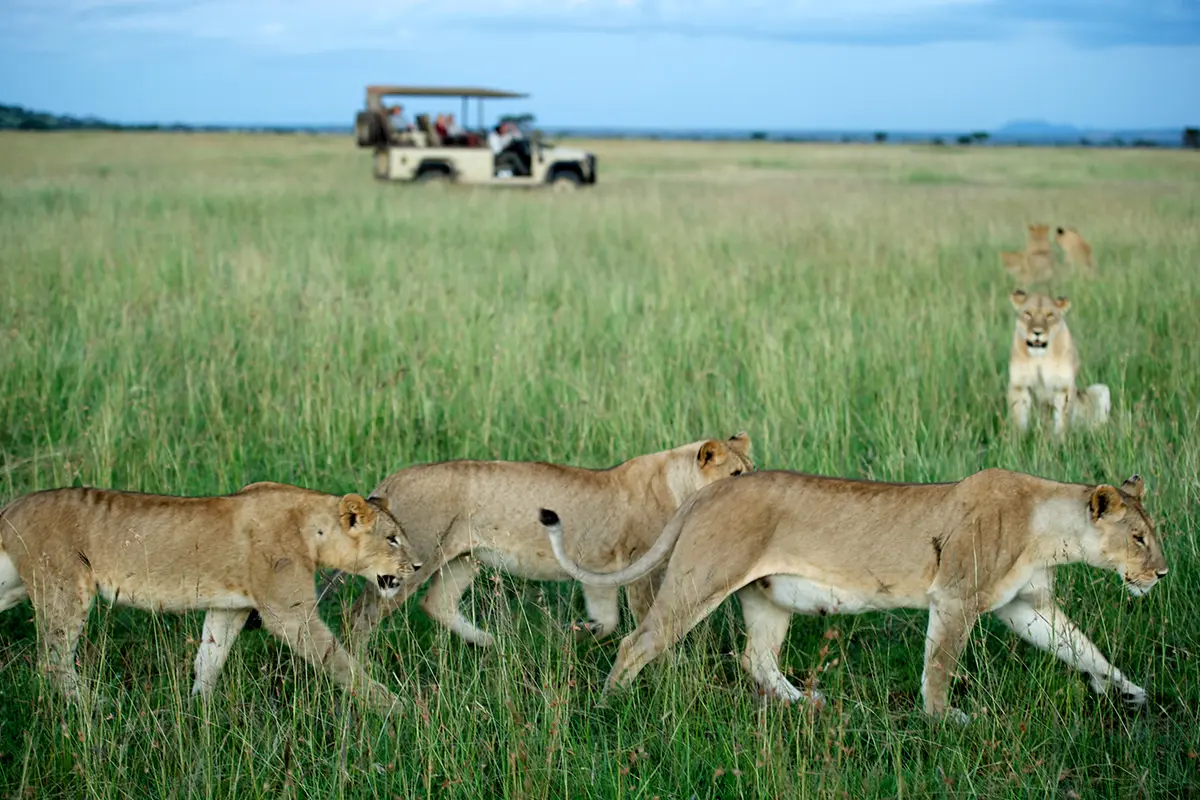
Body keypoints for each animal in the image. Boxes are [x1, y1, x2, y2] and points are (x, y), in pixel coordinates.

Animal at [0, 481, 419, 710]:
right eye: (392, 539)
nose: (416, 566)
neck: (314, 531)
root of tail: (12, 506)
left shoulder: (229, 607)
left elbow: (209, 661)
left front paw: (198, 710)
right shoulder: (289, 614)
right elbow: (343, 663)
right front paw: (397, 707)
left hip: (14, 585)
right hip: (64, 588)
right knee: (52, 662)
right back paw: (90, 705)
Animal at [339, 434, 755, 644]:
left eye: (752, 468)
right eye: (735, 473)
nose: (755, 490)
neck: (679, 484)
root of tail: (390, 484)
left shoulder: (600, 567)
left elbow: (607, 619)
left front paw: (581, 632)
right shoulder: (640, 568)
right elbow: (646, 619)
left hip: (464, 558)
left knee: (436, 604)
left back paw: (491, 642)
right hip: (411, 565)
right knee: (358, 616)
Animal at [541, 468, 1167, 722]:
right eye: (1138, 537)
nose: (1162, 574)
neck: (1048, 529)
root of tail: (707, 492)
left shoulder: (1026, 607)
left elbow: (1083, 648)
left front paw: (1132, 692)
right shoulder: (955, 598)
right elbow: (939, 666)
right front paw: (944, 720)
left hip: (766, 595)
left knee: (756, 658)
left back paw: (808, 704)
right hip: (701, 580)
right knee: (638, 643)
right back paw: (609, 707)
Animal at [1007, 289, 1110, 437]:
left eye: (1049, 315)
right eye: (1028, 314)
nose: (1037, 332)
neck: (1040, 357)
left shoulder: (1063, 387)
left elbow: (1062, 421)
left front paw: (1059, 441)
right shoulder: (1019, 385)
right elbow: (1019, 419)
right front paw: (1019, 440)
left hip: (1101, 389)